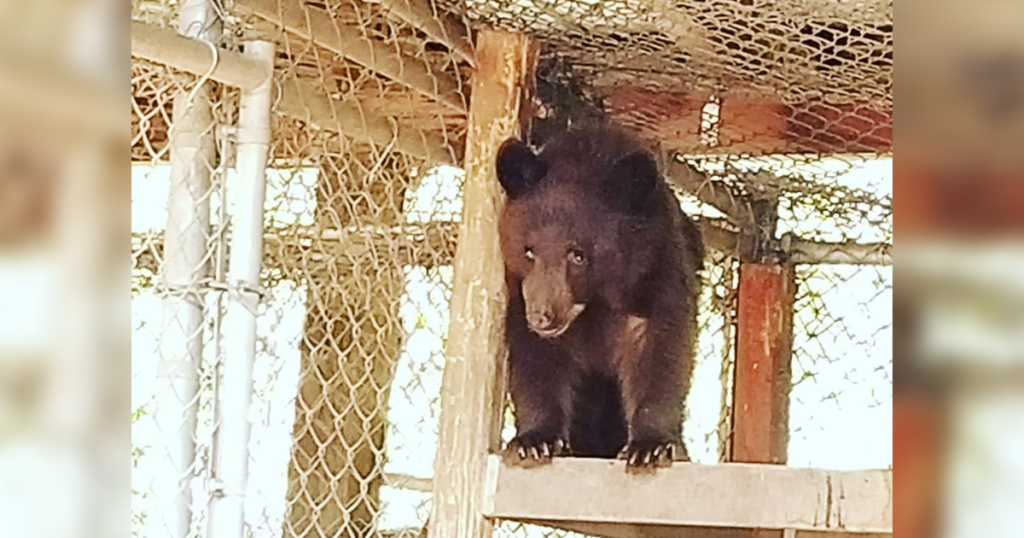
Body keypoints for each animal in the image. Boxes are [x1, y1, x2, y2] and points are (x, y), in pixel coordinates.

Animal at [495, 124, 704, 471]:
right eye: (528, 251)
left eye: (577, 255)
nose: (542, 315)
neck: (596, 302)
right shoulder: (519, 291)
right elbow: (534, 359)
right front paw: (534, 441)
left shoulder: (657, 269)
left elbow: (661, 350)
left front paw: (650, 446)